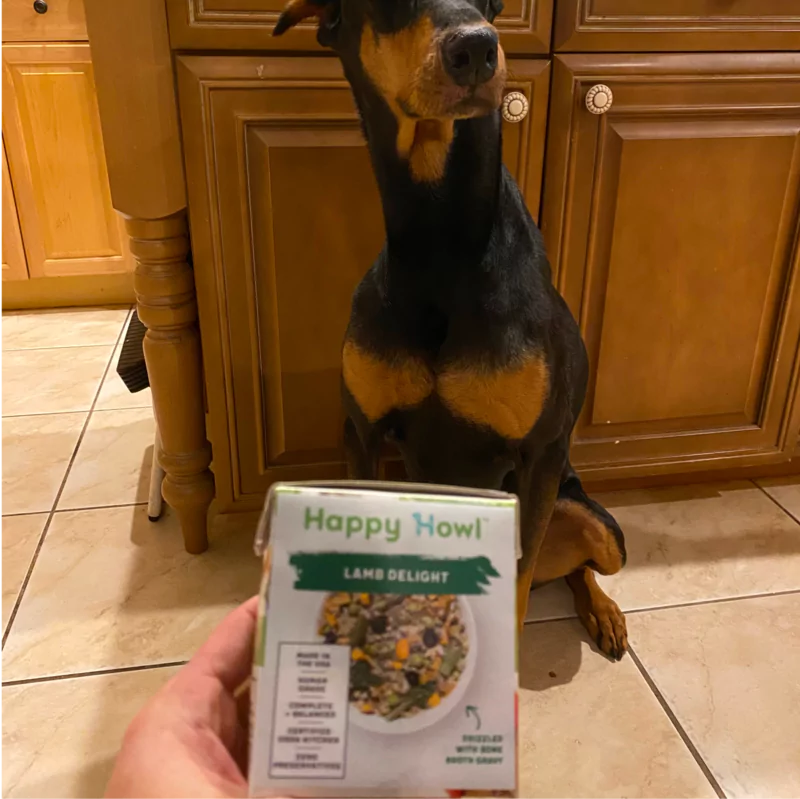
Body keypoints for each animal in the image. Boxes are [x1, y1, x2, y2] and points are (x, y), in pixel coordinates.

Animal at [276, 0, 632, 660]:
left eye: (492, 6)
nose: (477, 50)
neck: (439, 236)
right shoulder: (363, 432)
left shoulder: (541, 453)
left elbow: (518, 579)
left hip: (594, 519)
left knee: (578, 565)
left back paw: (603, 611)